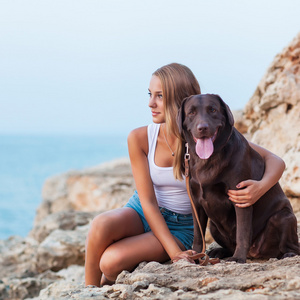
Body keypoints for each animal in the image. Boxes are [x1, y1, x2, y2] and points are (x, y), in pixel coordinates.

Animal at [177, 94, 298, 262]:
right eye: (191, 112)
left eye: (213, 110)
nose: (203, 128)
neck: (208, 160)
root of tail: (254, 253)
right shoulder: (195, 203)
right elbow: (198, 235)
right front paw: (195, 255)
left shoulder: (241, 197)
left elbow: (242, 231)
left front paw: (238, 258)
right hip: (213, 226)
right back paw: (219, 251)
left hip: (283, 217)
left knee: (292, 246)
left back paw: (288, 254)